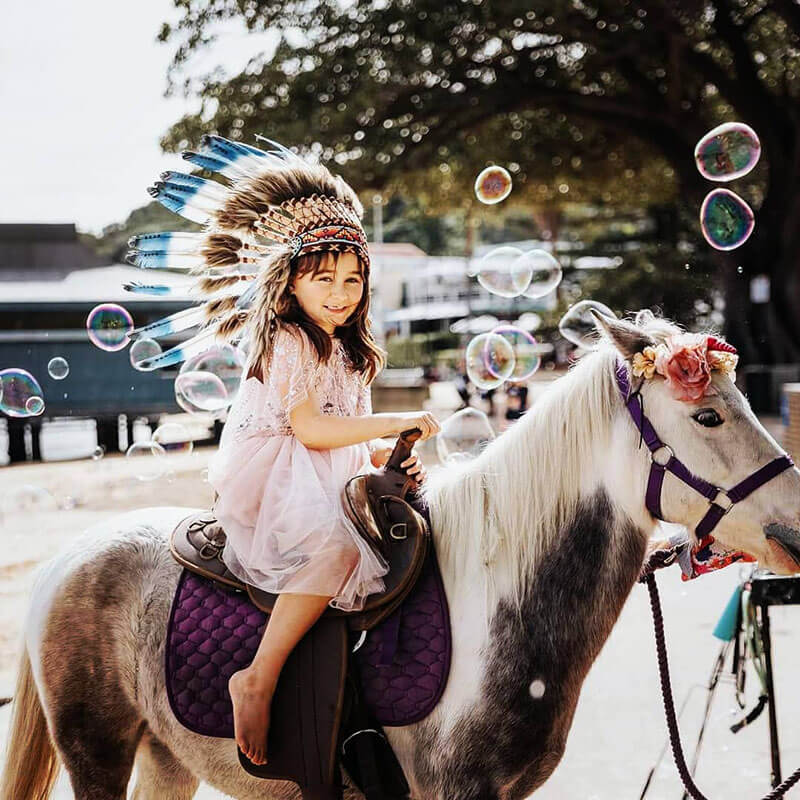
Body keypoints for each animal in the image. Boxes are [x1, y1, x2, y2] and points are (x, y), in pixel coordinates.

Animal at [1, 312, 800, 800]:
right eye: (708, 414)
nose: (793, 532)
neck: (498, 604)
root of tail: (68, 559)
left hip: (166, 756)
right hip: (97, 753)